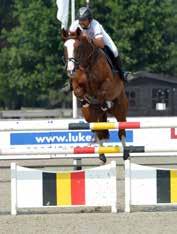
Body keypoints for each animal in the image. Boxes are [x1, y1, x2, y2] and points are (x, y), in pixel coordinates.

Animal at [61, 27, 128, 163]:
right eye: (65, 48)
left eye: (77, 47)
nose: (70, 70)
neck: (87, 64)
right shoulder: (77, 85)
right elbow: (79, 91)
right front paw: (86, 100)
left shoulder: (107, 82)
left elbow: (101, 91)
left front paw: (103, 101)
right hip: (90, 116)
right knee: (98, 130)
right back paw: (102, 155)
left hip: (120, 108)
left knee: (121, 129)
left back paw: (125, 153)